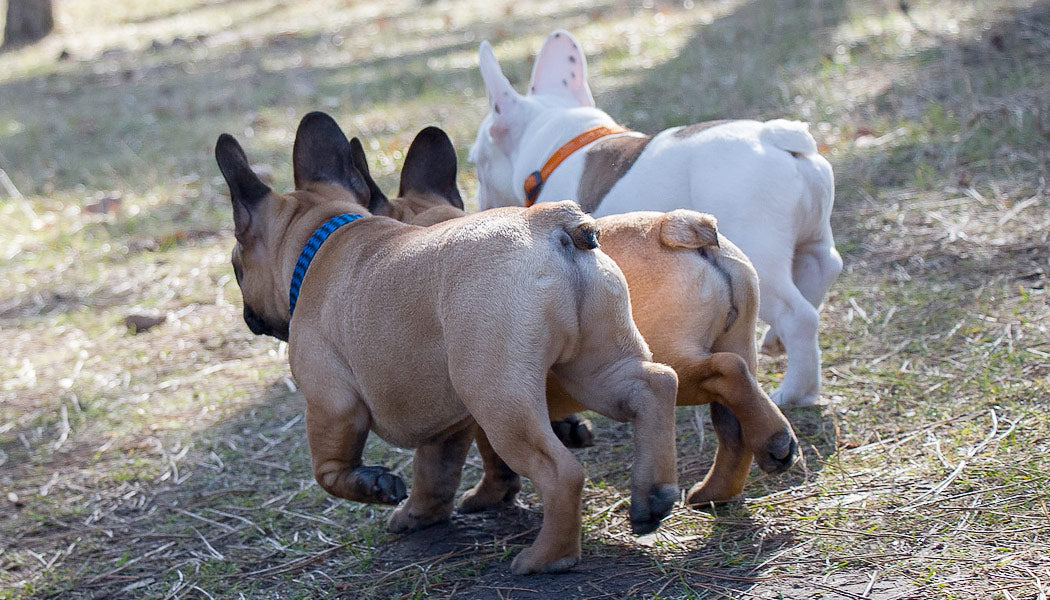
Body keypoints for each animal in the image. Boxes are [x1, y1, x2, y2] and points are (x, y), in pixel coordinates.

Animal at [217, 114, 680, 575]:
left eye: (236, 269)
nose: (246, 314)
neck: (321, 241)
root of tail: (551, 223)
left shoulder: (331, 406)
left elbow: (329, 471)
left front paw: (375, 485)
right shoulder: (445, 424)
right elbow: (434, 471)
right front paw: (421, 514)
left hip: (499, 400)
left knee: (560, 471)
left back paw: (548, 557)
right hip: (594, 364)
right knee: (653, 385)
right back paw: (652, 495)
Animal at [356, 125, 797, 506]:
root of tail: (675, 227)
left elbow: (486, 455)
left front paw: (485, 497)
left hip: (671, 360)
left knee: (723, 373)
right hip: (736, 338)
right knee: (733, 422)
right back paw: (726, 483)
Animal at [472, 31, 839, 407]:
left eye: (475, 162)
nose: (478, 200)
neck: (558, 143)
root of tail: (776, 137)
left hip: (760, 252)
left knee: (799, 316)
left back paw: (795, 391)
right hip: (813, 237)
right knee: (824, 269)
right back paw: (776, 341)